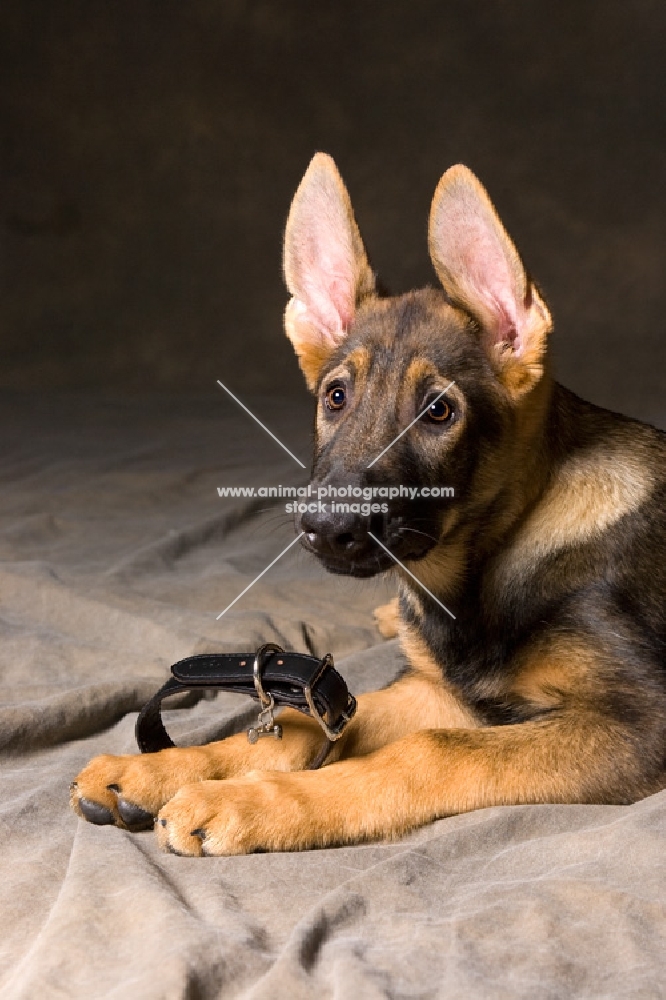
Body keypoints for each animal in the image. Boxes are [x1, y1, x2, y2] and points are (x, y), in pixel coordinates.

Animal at [71, 154, 664, 852]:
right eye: (336, 396)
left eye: (439, 412)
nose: (326, 529)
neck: (486, 564)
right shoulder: (437, 691)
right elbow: (304, 724)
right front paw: (162, 768)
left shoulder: (637, 722)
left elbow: (428, 751)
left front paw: (248, 802)